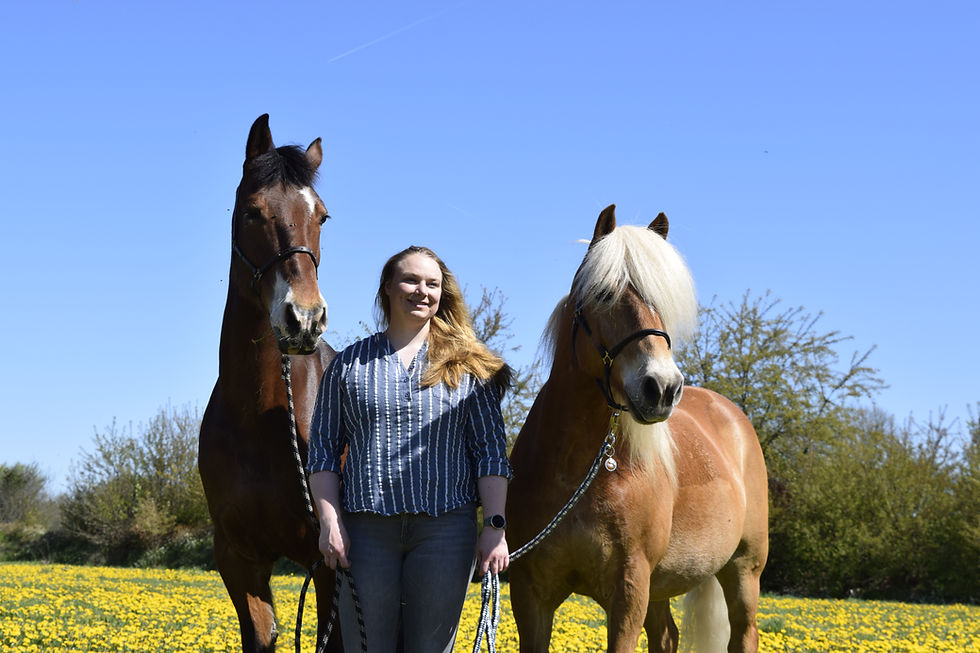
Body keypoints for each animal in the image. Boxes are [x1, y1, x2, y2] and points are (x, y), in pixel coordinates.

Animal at [506, 205, 769, 653]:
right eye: (604, 295)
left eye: (662, 301)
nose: (662, 388)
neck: (575, 473)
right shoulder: (530, 595)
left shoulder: (629, 590)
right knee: (666, 636)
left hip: (743, 571)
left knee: (743, 633)